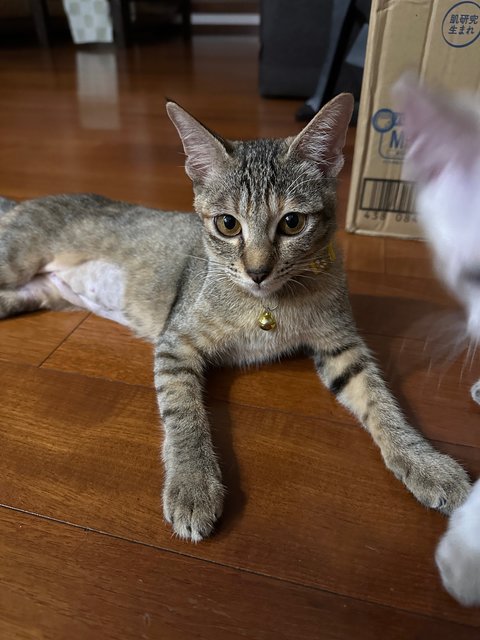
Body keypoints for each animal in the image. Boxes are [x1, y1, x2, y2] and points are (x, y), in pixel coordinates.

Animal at [0, 96, 468, 544]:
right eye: (228, 224)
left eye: (292, 222)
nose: (258, 271)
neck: (269, 304)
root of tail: (23, 203)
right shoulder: (176, 342)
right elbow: (184, 413)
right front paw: (192, 485)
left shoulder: (342, 345)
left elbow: (382, 402)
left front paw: (426, 464)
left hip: (28, 293)